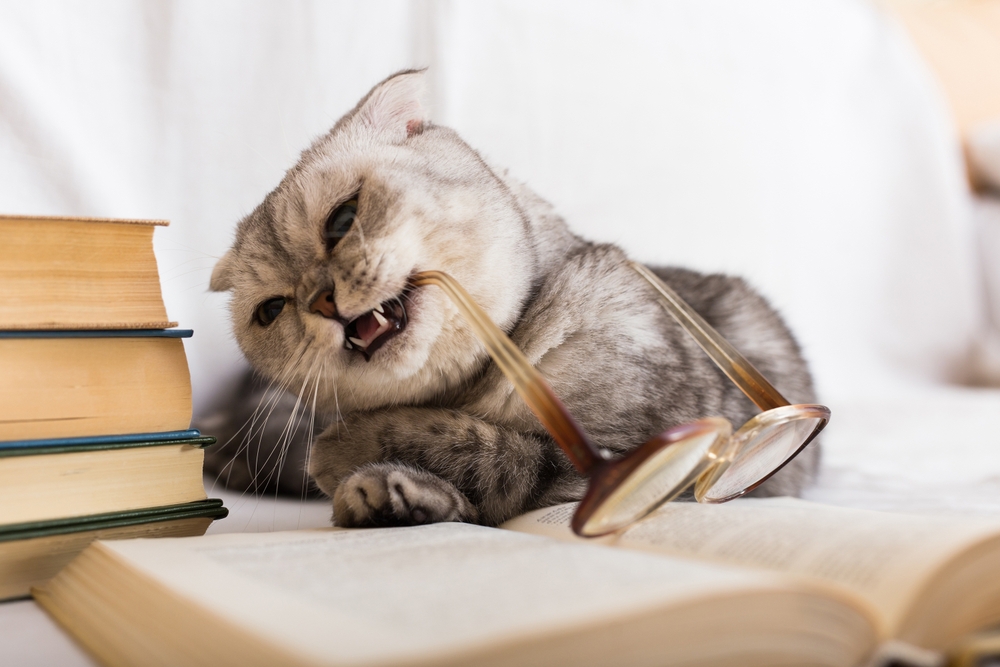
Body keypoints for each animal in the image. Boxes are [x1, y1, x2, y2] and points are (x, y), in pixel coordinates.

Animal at [205, 68, 820, 528]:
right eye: (271, 310)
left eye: (342, 218)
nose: (322, 300)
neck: (477, 388)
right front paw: (386, 495)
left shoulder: (647, 446)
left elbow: (495, 452)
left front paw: (350, 453)